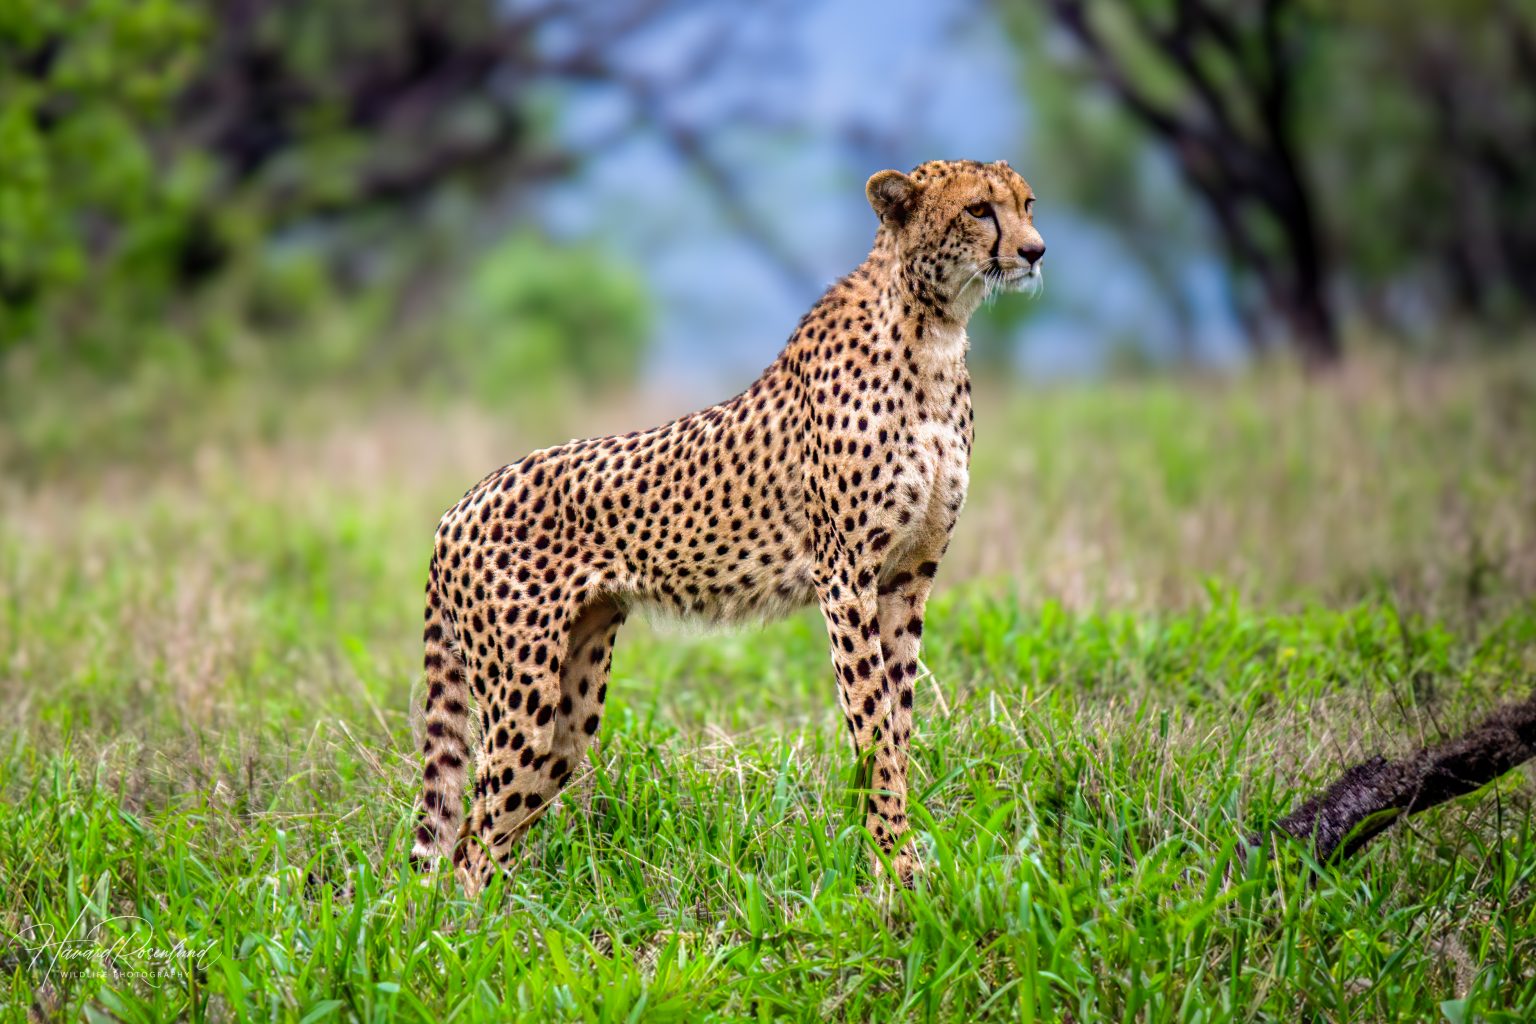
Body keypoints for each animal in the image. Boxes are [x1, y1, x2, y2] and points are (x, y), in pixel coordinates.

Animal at [412, 159, 1046, 892]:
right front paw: (895, 873)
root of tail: (457, 506)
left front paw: (905, 867)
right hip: (521, 697)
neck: (935, 329)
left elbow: (900, 723)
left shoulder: (908, 577)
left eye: (1027, 203)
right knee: (470, 842)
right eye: (978, 210)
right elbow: (873, 725)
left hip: (570, 701)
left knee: (495, 826)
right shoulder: (845, 577)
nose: (1036, 251)